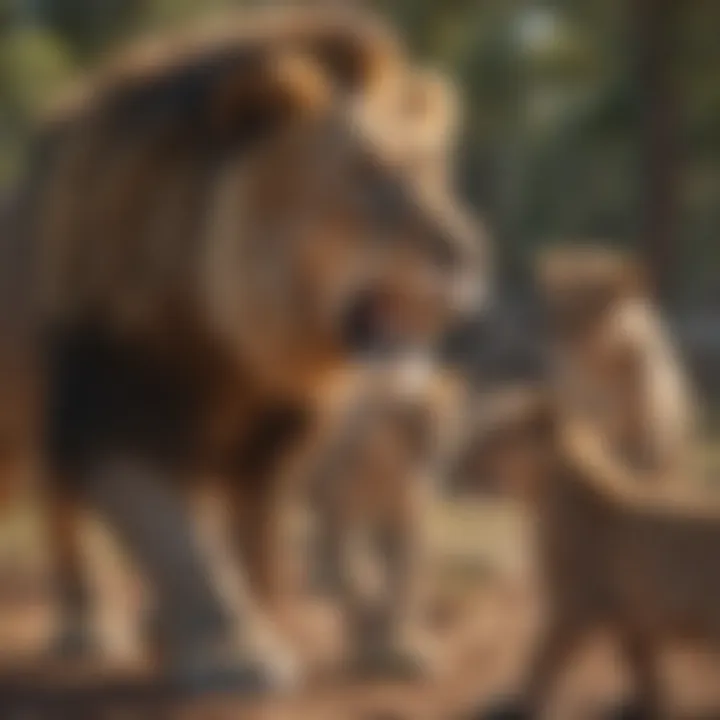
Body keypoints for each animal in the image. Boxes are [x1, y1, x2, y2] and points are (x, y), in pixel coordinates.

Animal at [1, 5, 490, 692]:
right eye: (367, 177)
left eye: (433, 174)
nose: (469, 253)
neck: (232, 339)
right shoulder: (112, 408)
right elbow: (178, 544)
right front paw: (232, 654)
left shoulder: (269, 445)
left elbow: (250, 547)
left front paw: (250, 624)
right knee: (62, 514)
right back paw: (88, 630)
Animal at [464, 388, 720, 720]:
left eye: (494, 434)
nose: (463, 456)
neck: (539, 499)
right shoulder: (629, 611)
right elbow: (642, 662)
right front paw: (641, 704)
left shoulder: (574, 605)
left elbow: (542, 657)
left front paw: (512, 703)